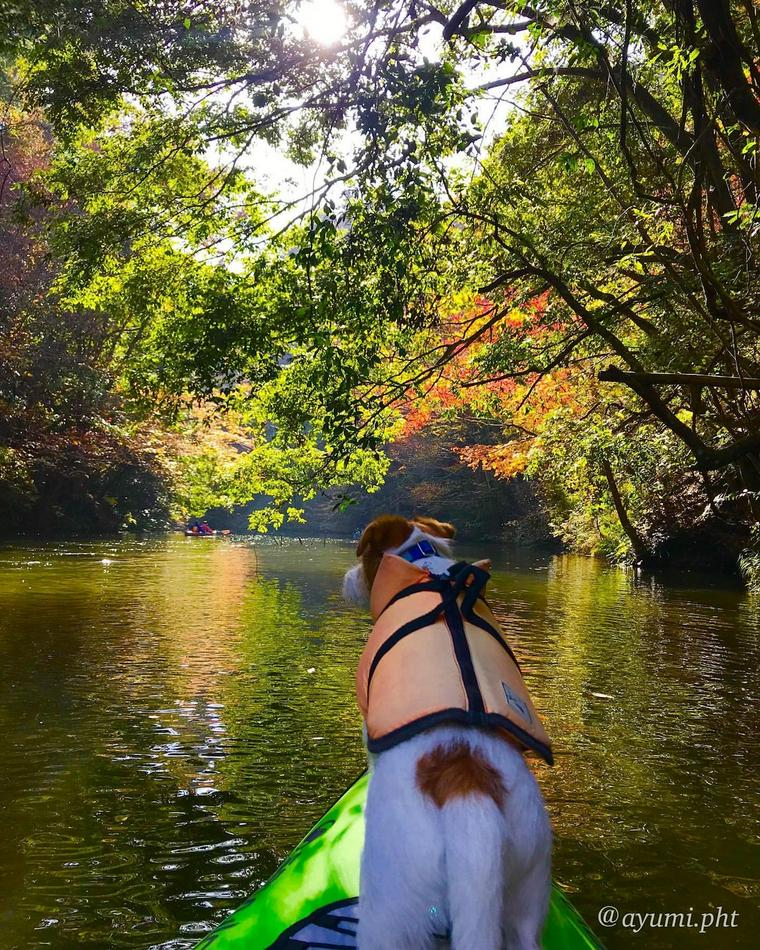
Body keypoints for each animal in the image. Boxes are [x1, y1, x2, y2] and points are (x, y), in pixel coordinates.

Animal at [344, 516, 552, 950]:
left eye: (364, 555)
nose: (347, 579)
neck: (422, 564)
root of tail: (466, 788)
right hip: (527, 891)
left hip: (387, 909)